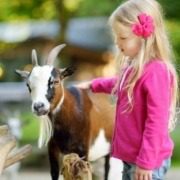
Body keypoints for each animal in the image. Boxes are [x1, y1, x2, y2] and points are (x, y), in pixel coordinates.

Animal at [15, 44, 118, 180]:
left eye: (55, 81)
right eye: (28, 84)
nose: (38, 106)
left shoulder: (83, 151)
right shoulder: (53, 149)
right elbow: (54, 173)